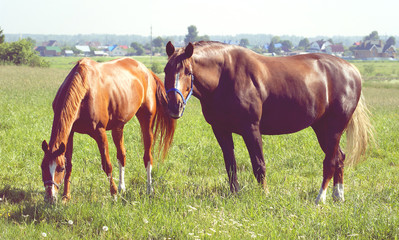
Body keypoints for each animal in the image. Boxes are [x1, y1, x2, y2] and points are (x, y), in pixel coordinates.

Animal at [41, 58, 177, 202]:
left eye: (60, 169)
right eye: (42, 166)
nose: (50, 197)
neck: (84, 88)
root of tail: (147, 71)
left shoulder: (100, 132)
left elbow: (107, 164)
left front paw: (114, 195)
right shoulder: (70, 133)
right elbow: (70, 164)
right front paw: (66, 197)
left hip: (146, 121)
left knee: (148, 156)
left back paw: (149, 189)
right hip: (118, 126)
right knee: (122, 155)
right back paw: (122, 187)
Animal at [164, 41, 374, 204]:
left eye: (188, 71)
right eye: (166, 70)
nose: (174, 106)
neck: (224, 76)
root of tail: (352, 71)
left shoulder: (251, 128)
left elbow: (259, 164)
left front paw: (264, 194)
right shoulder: (220, 130)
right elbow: (230, 165)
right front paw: (235, 194)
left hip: (334, 129)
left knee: (330, 161)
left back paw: (320, 199)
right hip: (322, 129)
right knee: (339, 158)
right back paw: (338, 196)